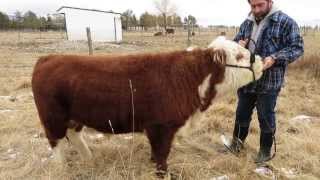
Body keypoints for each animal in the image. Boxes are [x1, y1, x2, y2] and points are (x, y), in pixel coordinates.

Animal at [31, 36, 262, 173]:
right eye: (239, 55)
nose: (260, 61)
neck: (190, 78)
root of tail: (47, 58)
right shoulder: (161, 127)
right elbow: (162, 154)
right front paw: (163, 172)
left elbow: (156, 153)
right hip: (53, 119)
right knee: (56, 143)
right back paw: (61, 168)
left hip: (74, 118)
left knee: (75, 136)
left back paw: (89, 159)